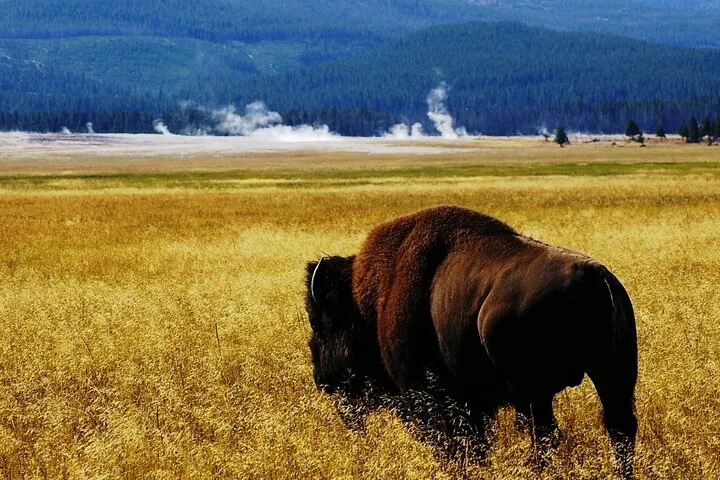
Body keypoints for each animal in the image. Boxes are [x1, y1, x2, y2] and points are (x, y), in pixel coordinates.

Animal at [305, 205, 637, 477]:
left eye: (321, 325)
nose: (321, 379)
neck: (369, 303)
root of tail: (596, 276)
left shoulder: (427, 395)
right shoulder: (474, 403)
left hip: (534, 392)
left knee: (546, 435)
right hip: (613, 376)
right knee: (620, 429)